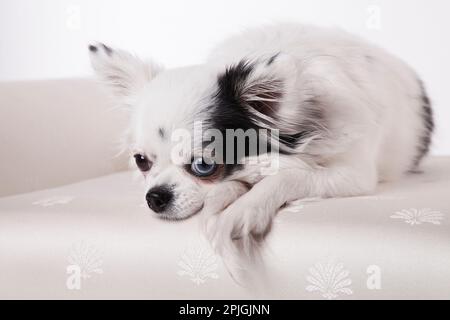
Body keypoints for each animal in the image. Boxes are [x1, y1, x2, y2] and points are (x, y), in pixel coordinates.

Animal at [89, 22, 432, 262]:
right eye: (141, 161)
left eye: (203, 166)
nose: (155, 197)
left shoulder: (353, 174)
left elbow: (290, 177)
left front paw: (247, 205)